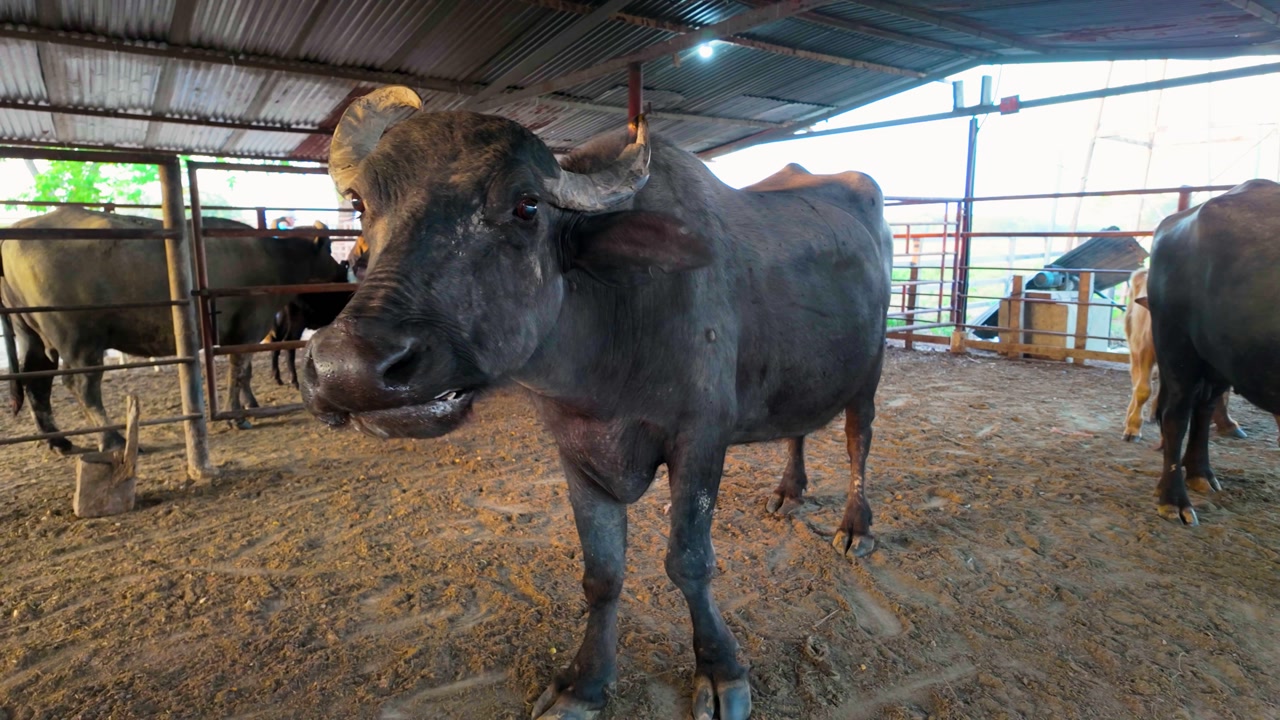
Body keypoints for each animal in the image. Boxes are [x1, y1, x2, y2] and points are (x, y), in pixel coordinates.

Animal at [299, 87, 892, 720]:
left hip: (871, 367)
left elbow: (689, 560)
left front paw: (720, 670)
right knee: (798, 426)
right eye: (360, 203)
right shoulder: (576, 449)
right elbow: (602, 573)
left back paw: (854, 526)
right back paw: (788, 491)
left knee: (858, 438)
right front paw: (583, 684)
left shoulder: (702, 439)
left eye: (526, 205)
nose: (347, 368)